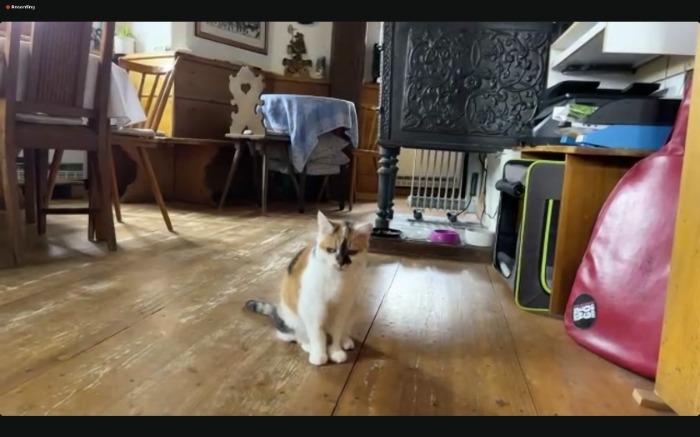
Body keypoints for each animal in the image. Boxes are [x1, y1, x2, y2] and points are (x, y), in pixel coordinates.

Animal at [245, 211, 373, 366]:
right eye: (331, 250)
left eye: (352, 252)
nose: (340, 262)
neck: (336, 279)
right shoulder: (314, 308)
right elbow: (317, 334)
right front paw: (318, 355)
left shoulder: (343, 307)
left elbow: (337, 330)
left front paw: (336, 351)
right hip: (293, 319)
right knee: (294, 335)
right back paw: (307, 344)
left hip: (352, 307)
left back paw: (345, 340)